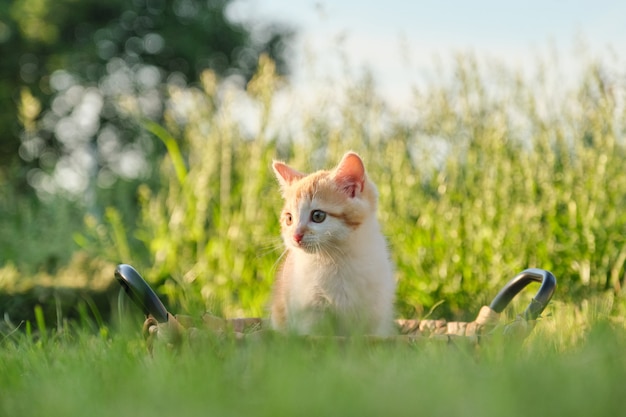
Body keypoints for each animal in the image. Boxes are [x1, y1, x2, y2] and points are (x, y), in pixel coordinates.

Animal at [270, 150, 394, 334]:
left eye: (318, 216)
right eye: (289, 218)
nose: (295, 236)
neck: (337, 258)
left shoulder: (375, 311)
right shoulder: (307, 311)